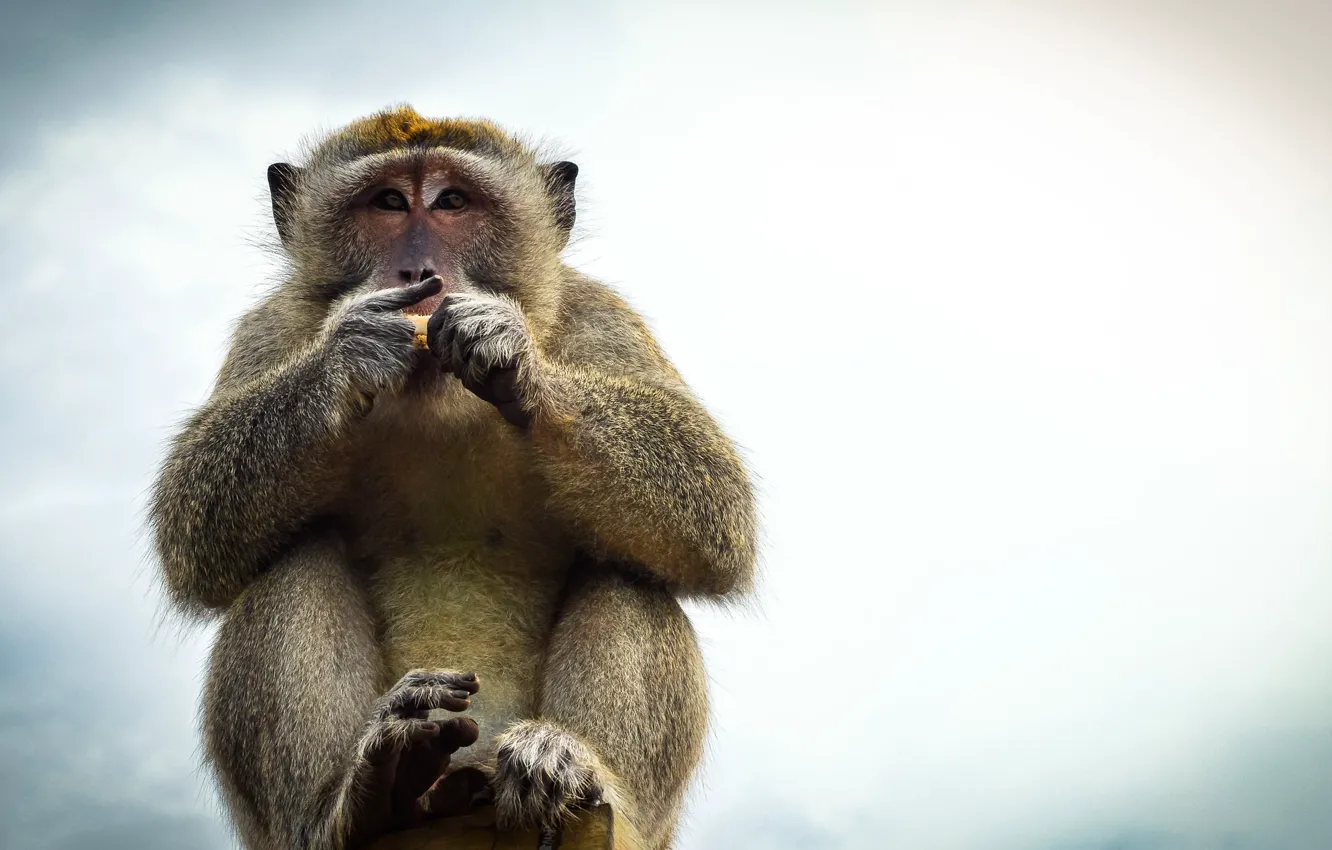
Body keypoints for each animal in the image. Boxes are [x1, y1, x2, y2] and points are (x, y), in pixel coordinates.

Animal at [147, 106, 756, 850]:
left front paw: (511, 357)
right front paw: (349, 353)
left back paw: (571, 769)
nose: (419, 267)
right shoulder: (271, 327)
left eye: (452, 202)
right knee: (290, 559)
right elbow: (193, 527)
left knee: (633, 565)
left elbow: (712, 505)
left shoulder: (599, 315)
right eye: (387, 202)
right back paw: (357, 799)